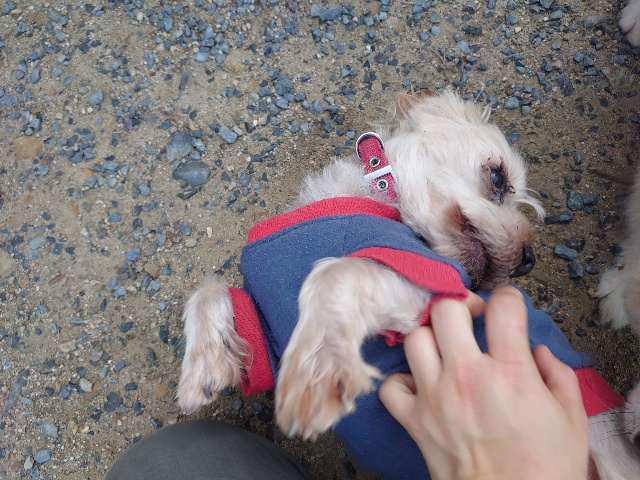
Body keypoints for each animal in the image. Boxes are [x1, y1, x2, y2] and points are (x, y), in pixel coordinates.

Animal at [177, 91, 640, 479]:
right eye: (497, 178)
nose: (528, 260)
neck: (376, 197)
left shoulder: (434, 289)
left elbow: (333, 273)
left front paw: (317, 372)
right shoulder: (270, 336)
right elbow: (208, 290)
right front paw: (203, 368)